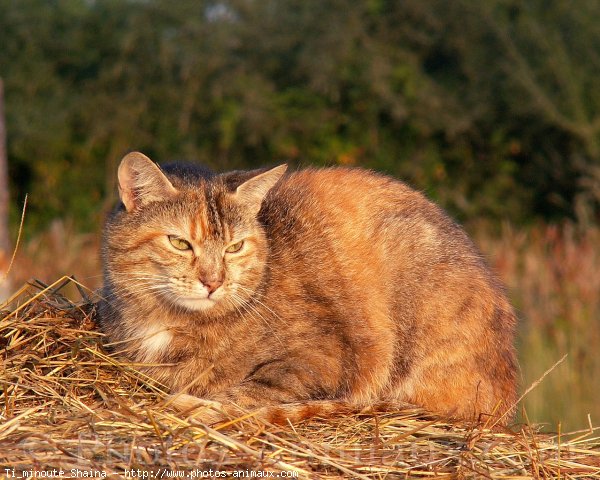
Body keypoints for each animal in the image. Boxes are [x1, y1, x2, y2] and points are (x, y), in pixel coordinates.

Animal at [97, 152, 516, 426]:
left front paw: (199, 406)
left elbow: (248, 393)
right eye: (180, 243)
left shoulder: (317, 360)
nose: (214, 282)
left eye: (235, 247)